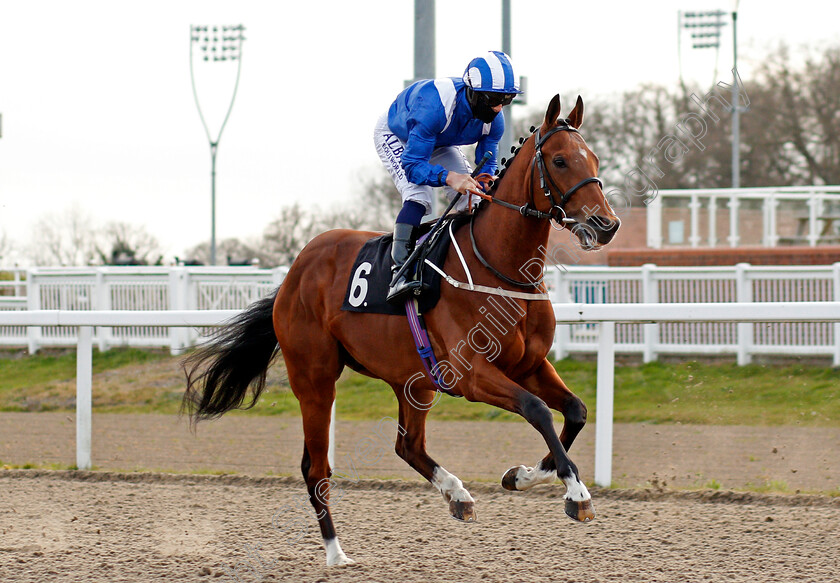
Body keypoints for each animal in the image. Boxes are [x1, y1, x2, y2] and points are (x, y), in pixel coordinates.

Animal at [182, 94, 616, 564]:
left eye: (594, 158)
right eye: (559, 160)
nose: (606, 225)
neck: (500, 268)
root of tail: (295, 271)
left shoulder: (529, 365)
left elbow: (575, 411)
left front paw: (522, 476)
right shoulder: (470, 375)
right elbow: (537, 410)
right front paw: (577, 493)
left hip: (414, 380)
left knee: (407, 446)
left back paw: (458, 495)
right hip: (315, 378)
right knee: (316, 467)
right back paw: (336, 553)